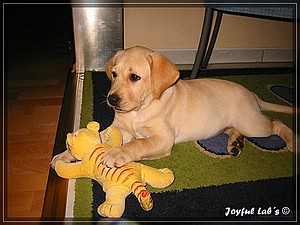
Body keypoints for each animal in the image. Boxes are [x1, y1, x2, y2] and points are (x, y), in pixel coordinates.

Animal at [99, 45, 292, 167]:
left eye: (134, 77)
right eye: (114, 74)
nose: (112, 99)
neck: (139, 111)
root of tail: (252, 94)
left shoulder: (163, 138)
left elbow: (138, 143)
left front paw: (117, 153)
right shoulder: (118, 127)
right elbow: (101, 134)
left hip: (251, 124)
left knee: (276, 122)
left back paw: (292, 140)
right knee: (232, 129)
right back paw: (235, 144)